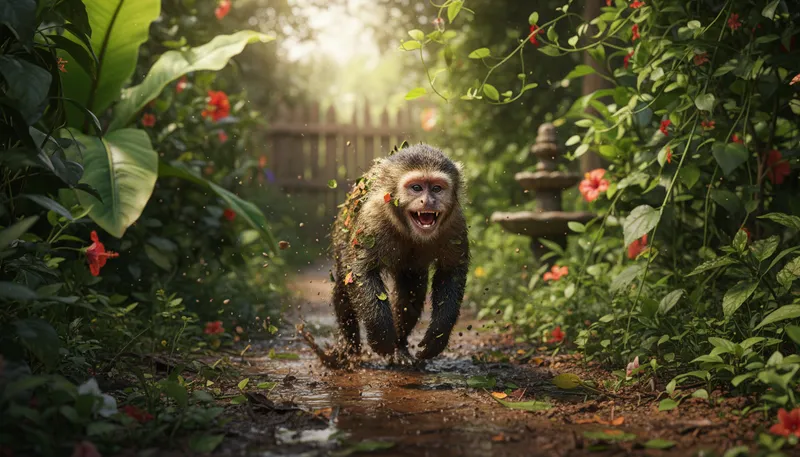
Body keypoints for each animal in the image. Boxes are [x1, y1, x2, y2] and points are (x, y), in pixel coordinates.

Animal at [324, 143, 470, 366]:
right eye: (416, 188)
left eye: (437, 188)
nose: (428, 201)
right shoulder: (373, 217)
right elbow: (360, 272)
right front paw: (381, 336)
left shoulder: (455, 223)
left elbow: (451, 271)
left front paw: (438, 334)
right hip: (342, 234)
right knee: (343, 285)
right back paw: (350, 347)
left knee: (411, 291)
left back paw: (399, 347)